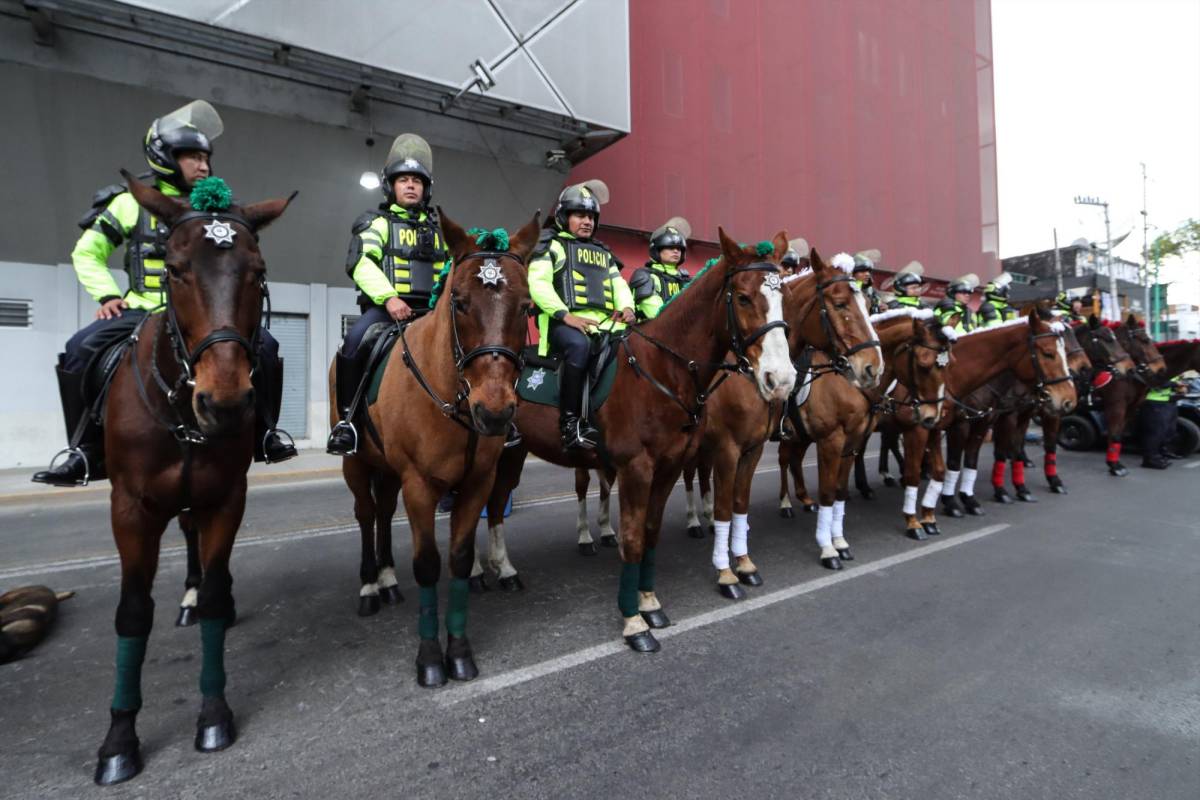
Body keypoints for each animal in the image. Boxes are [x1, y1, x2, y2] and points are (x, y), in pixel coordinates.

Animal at [91, 172, 292, 786]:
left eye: (258, 272)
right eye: (175, 269)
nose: (224, 403)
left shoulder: (226, 496)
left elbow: (216, 593)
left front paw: (213, 714)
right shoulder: (130, 508)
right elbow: (133, 613)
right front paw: (118, 741)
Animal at [333, 209, 540, 686]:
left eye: (526, 307)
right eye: (459, 302)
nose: (494, 412)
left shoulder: (477, 482)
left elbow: (460, 560)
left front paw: (459, 651)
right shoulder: (420, 485)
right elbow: (427, 564)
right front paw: (430, 658)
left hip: (388, 470)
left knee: (383, 511)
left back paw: (388, 580)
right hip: (357, 464)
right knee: (366, 514)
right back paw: (371, 584)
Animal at [477, 227, 796, 652]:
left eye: (784, 297)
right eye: (743, 297)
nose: (782, 379)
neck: (661, 371)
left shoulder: (669, 469)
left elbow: (650, 534)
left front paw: (649, 604)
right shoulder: (637, 469)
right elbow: (631, 538)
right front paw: (633, 623)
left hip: (513, 454)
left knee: (496, 505)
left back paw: (505, 569)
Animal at [777, 309, 955, 566]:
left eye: (947, 364)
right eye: (923, 363)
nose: (933, 416)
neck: (847, 383)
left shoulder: (851, 443)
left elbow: (839, 490)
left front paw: (840, 542)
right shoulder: (830, 442)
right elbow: (827, 492)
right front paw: (828, 549)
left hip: (801, 436)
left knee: (794, 459)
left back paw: (804, 500)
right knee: (783, 459)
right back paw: (785, 503)